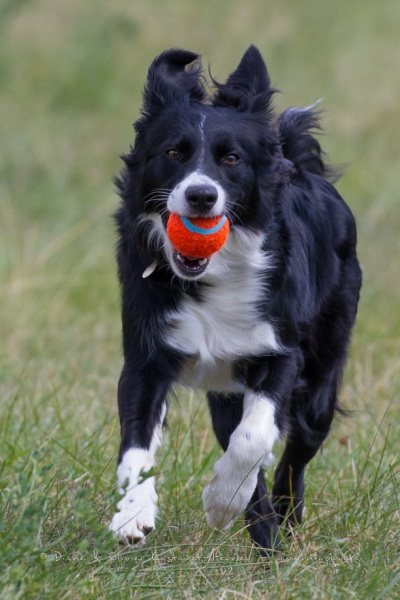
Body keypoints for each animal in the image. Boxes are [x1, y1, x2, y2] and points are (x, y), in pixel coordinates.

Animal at [109, 47, 362, 552]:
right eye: (173, 152)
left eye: (231, 158)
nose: (201, 196)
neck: (211, 277)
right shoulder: (146, 357)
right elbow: (136, 445)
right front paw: (133, 515)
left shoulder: (281, 352)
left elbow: (254, 438)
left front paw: (220, 501)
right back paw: (263, 531)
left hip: (321, 380)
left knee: (293, 453)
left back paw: (279, 527)